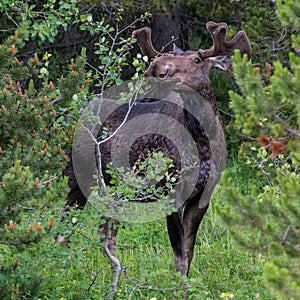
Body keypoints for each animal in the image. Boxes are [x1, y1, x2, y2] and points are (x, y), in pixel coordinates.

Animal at [64, 21, 252, 276]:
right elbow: (179, 256)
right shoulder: (170, 192)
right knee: (63, 232)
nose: (157, 67)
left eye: (197, 60)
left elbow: (188, 253)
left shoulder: (203, 195)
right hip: (76, 179)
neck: (203, 143)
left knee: (106, 236)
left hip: (116, 190)